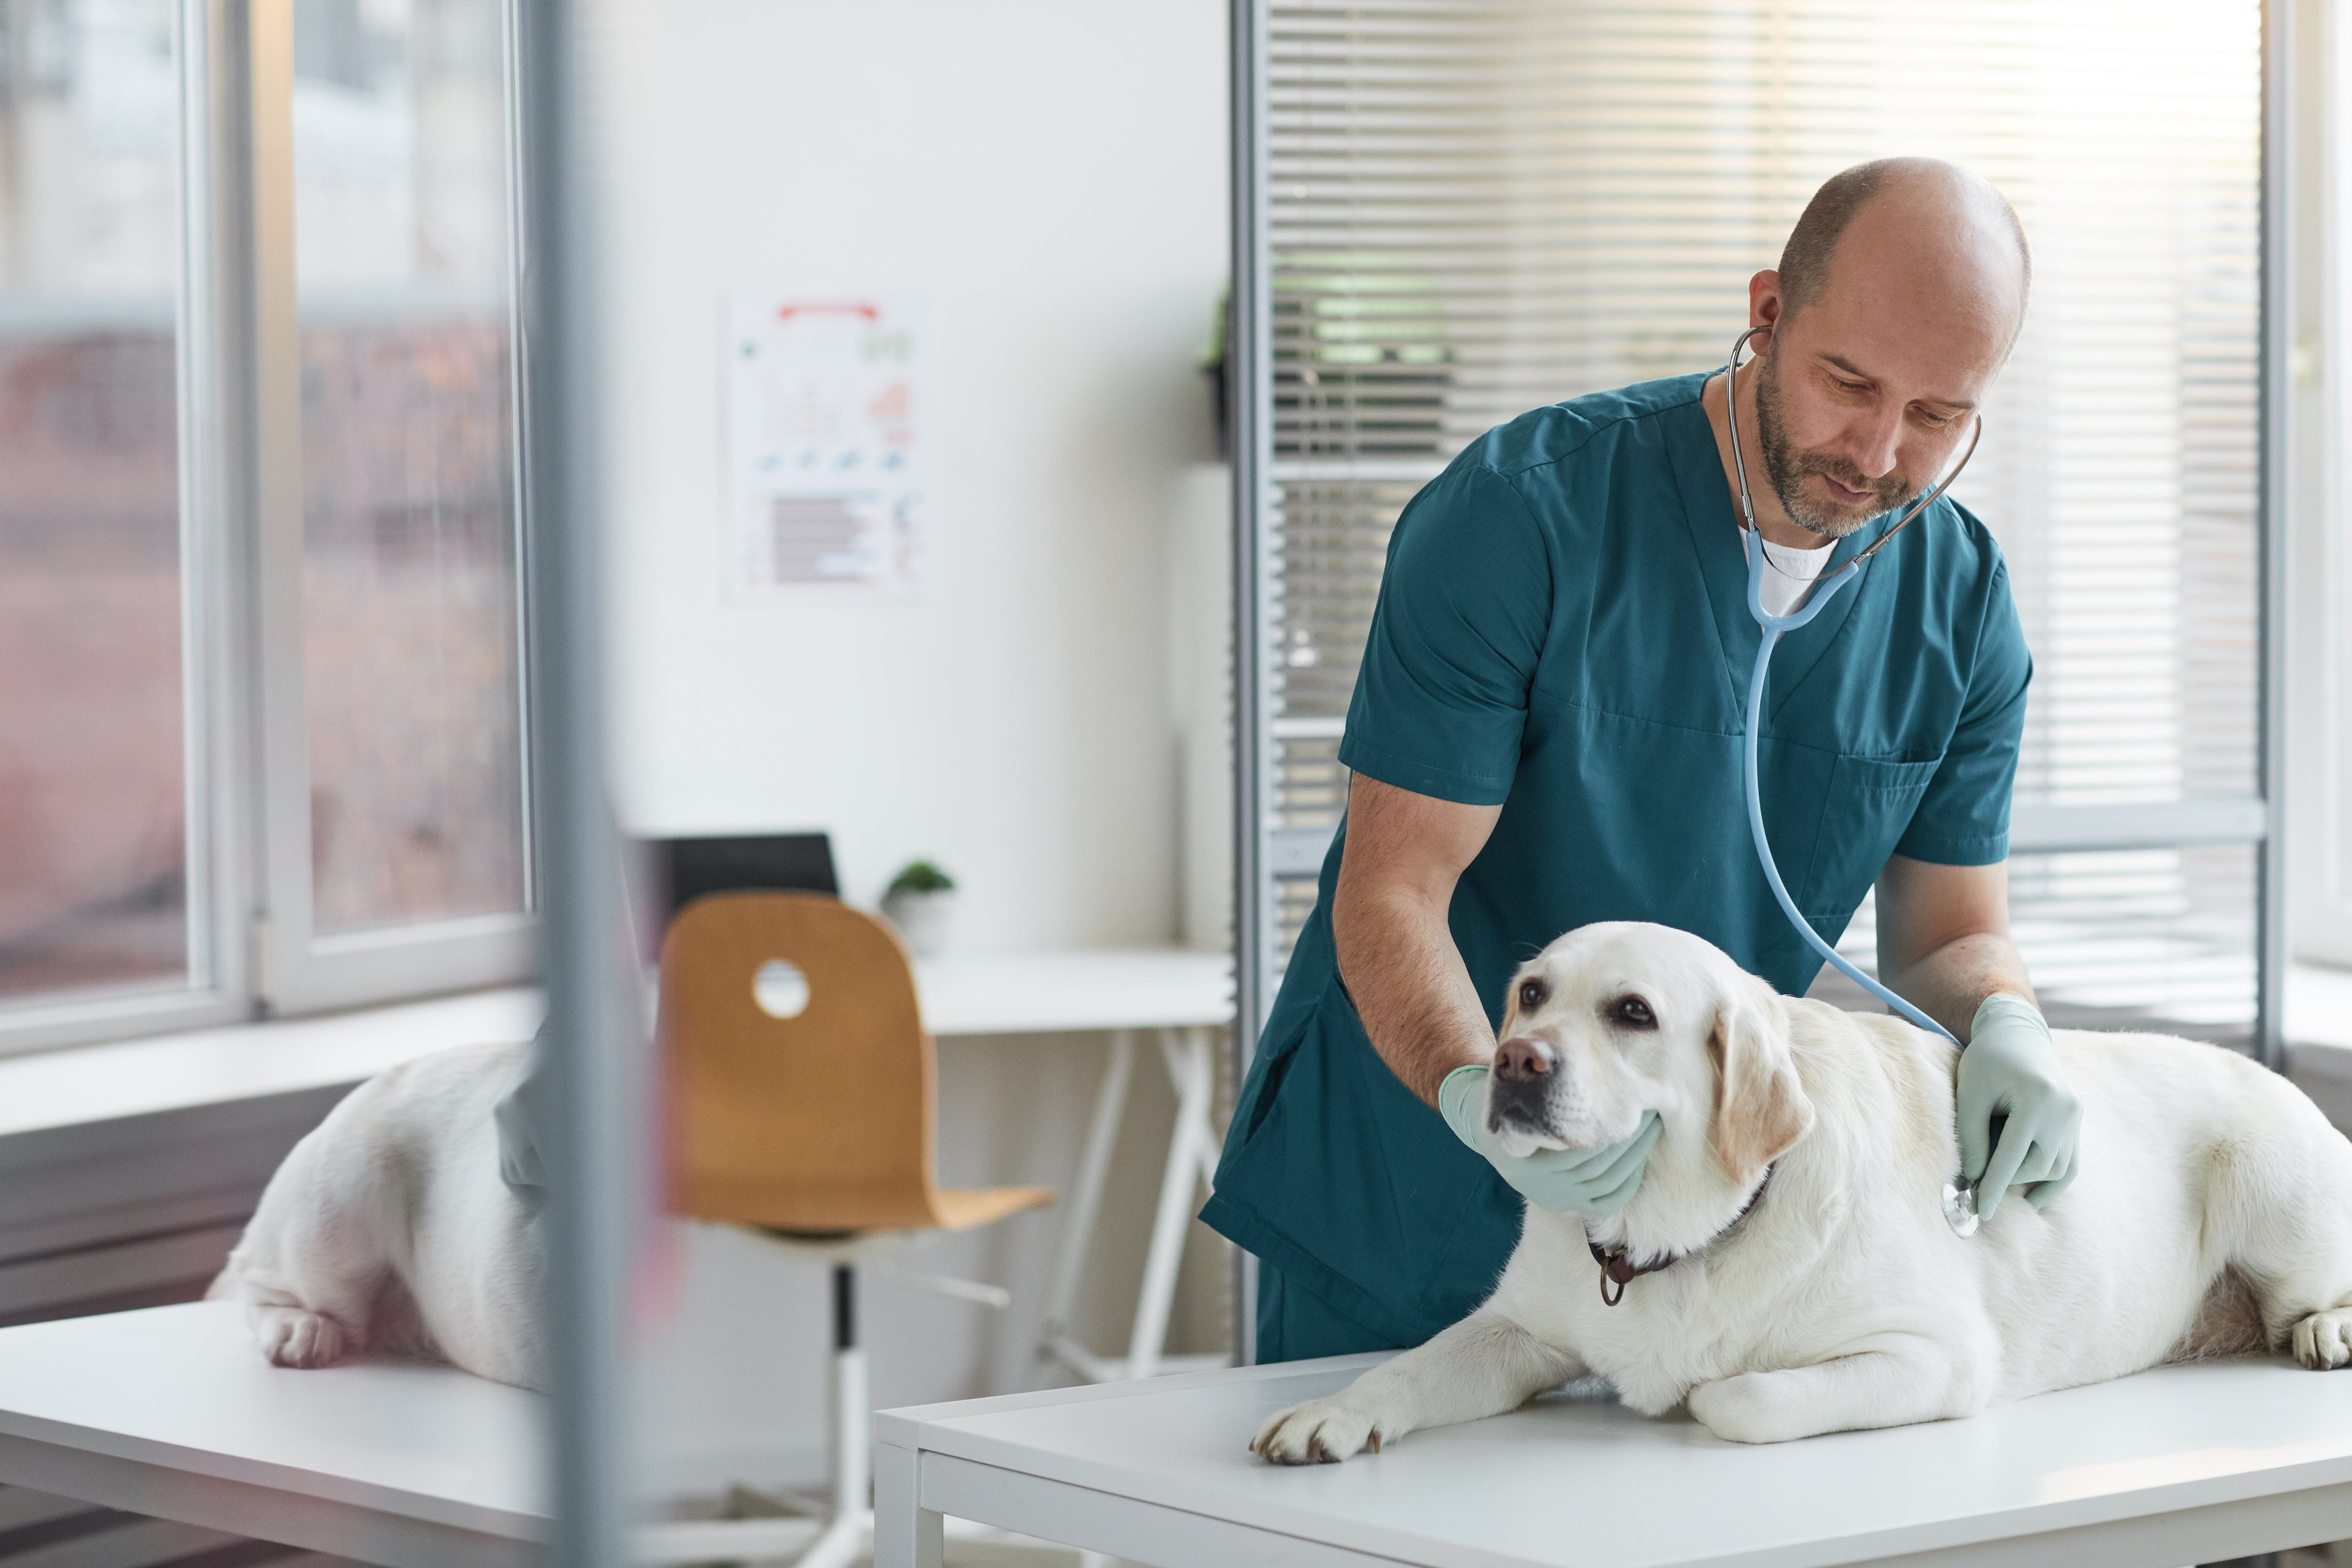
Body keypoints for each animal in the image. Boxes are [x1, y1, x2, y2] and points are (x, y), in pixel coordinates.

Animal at [1251, 921, 2352, 1457]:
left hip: (2273, 1184)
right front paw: (1330, 1414)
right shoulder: (1514, 1328)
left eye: (1633, 1013)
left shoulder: (1936, 1358)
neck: (1670, 1243)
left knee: (2312, 1289)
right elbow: (1412, 1367)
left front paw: (1696, 1393)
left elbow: (1738, 1395)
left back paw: (2325, 1331)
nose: (1518, 1063)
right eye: (1530, 994)